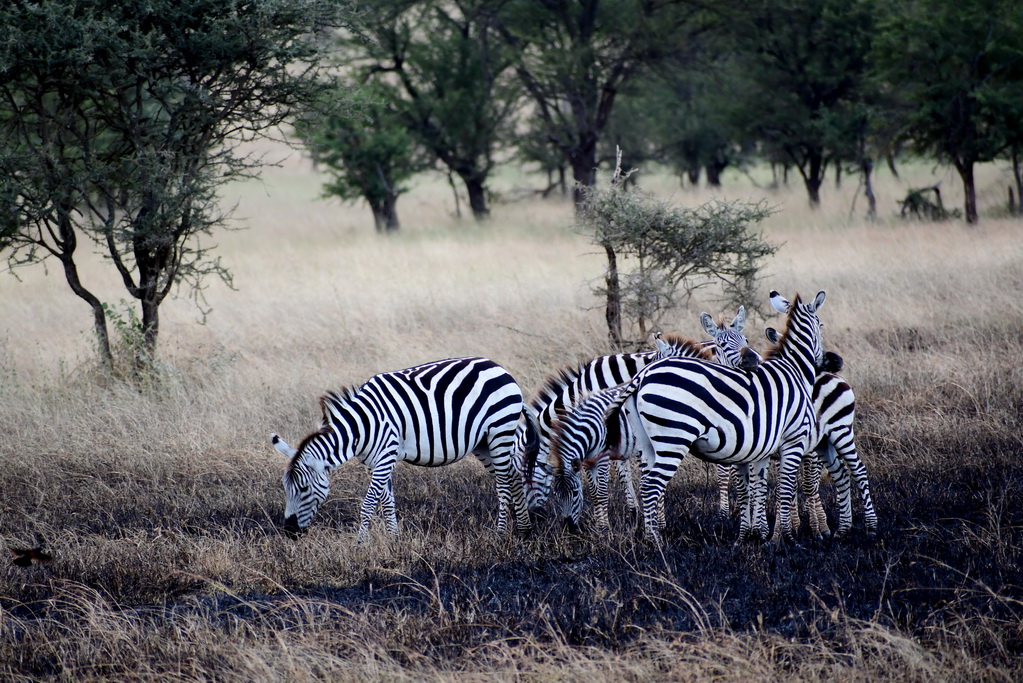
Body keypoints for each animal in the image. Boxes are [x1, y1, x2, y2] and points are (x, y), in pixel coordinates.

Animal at [268, 355, 531, 539]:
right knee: (513, 476)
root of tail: (500, 368)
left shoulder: (386, 456)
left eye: (303, 489)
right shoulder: (376, 461)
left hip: (499, 431)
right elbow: (387, 502)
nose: (289, 532)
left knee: (504, 484)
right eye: (285, 488)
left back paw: (500, 534)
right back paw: (524, 530)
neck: (362, 427)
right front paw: (394, 539)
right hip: (483, 443)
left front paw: (360, 544)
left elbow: (369, 504)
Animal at [597, 290, 826, 548]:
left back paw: (650, 536)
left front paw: (753, 534)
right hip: (673, 441)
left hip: (648, 445)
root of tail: (642, 375)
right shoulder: (792, 440)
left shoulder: (759, 448)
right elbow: (783, 488)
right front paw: (783, 538)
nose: (826, 361)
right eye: (821, 325)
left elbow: (756, 489)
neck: (793, 368)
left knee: (646, 484)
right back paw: (656, 542)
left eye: (746, 340)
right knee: (651, 486)